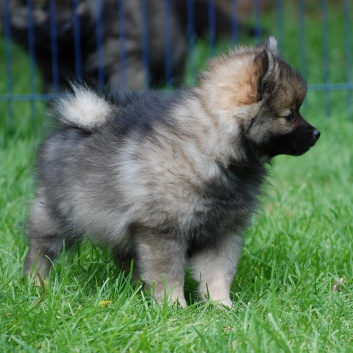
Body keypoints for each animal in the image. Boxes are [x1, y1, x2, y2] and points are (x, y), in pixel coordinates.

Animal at [26, 37, 320, 306]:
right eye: (290, 116)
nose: (317, 133)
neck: (214, 152)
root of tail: (74, 121)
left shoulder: (222, 232)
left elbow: (217, 273)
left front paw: (221, 306)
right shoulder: (163, 231)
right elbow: (169, 275)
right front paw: (174, 307)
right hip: (58, 214)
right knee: (40, 248)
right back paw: (36, 283)